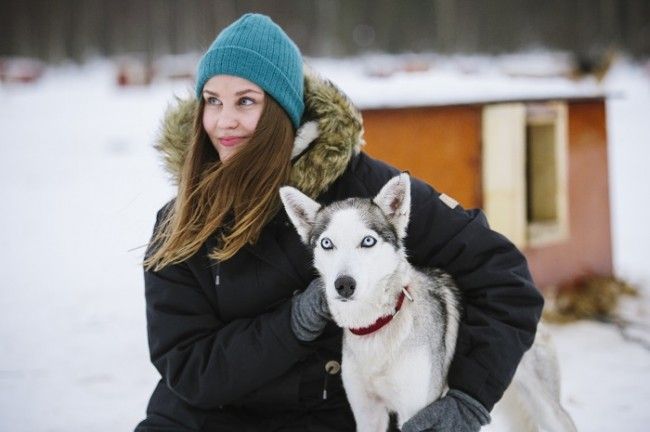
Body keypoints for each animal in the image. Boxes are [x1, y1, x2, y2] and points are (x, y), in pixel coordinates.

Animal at [280, 175, 576, 432]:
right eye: (327, 244)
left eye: (368, 241)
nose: (343, 284)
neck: (379, 326)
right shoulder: (367, 413)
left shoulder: (417, 413)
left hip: (546, 408)